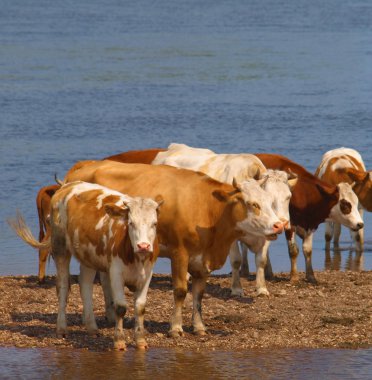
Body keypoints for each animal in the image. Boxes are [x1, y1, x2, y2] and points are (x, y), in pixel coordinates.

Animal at [8, 181, 163, 350]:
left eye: (154, 224)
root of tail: (68, 185)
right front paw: (119, 341)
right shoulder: (116, 272)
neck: (135, 258)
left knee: (85, 285)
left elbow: (140, 307)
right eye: (131, 223)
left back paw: (92, 327)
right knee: (63, 287)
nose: (143, 246)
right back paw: (61, 328)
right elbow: (120, 307)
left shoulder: (147, 272)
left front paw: (141, 340)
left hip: (87, 257)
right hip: (60, 248)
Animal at [63, 160, 284, 336]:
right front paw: (176, 327)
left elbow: (199, 294)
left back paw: (109, 315)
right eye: (252, 204)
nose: (279, 225)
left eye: (269, 202)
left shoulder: (202, 260)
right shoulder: (180, 253)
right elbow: (180, 291)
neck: (207, 208)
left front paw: (199, 326)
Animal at [150, 144, 298, 296]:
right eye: (259, 201)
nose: (283, 223)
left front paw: (262, 288)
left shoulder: (266, 234)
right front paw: (237, 288)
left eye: (289, 196)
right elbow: (236, 261)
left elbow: (261, 261)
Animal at [256, 154, 364, 282]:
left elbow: (308, 251)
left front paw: (311, 276)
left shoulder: (310, 225)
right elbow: (293, 250)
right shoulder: (290, 224)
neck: (304, 193)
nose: (360, 224)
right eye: (345, 204)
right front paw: (294, 276)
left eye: (356, 203)